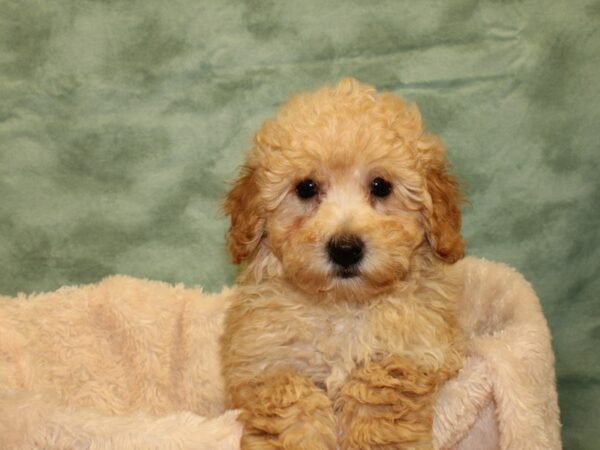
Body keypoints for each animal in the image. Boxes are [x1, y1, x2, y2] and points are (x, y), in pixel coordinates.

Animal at [220, 78, 464, 450]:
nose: (346, 249)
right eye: (306, 188)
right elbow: (292, 404)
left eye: (381, 186)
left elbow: (378, 395)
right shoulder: (267, 361)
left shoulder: (411, 349)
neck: (341, 307)